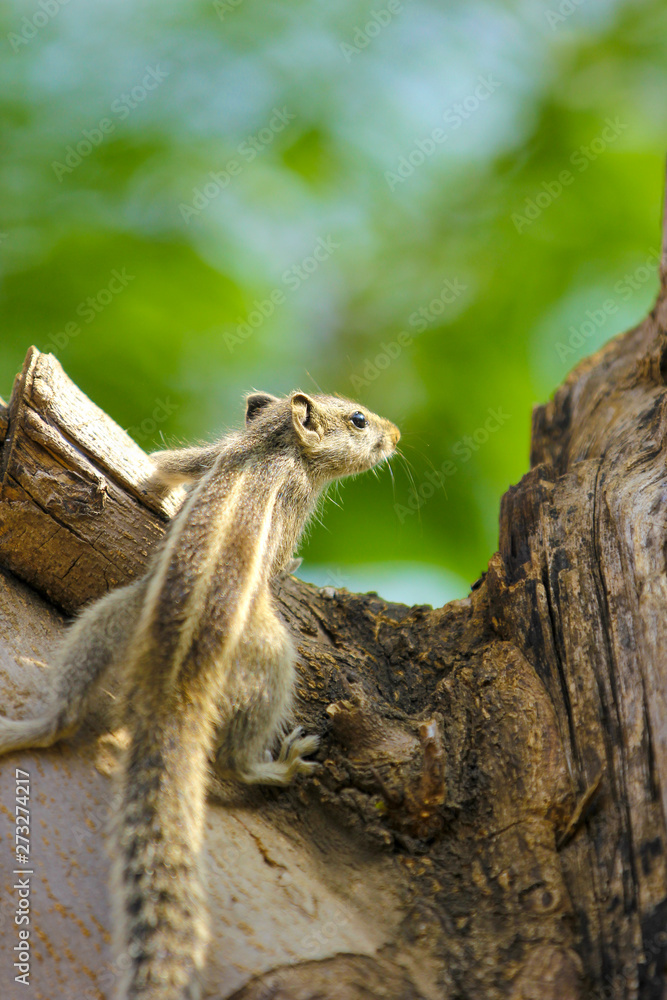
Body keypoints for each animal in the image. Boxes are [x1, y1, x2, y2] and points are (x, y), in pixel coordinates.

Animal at [0, 390, 400, 1000]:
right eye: (358, 420)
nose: (397, 435)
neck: (276, 442)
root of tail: (174, 687)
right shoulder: (293, 498)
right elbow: (276, 558)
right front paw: (292, 566)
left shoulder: (208, 455)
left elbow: (161, 466)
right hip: (270, 658)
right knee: (234, 757)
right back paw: (278, 766)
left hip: (109, 616)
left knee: (63, 718)